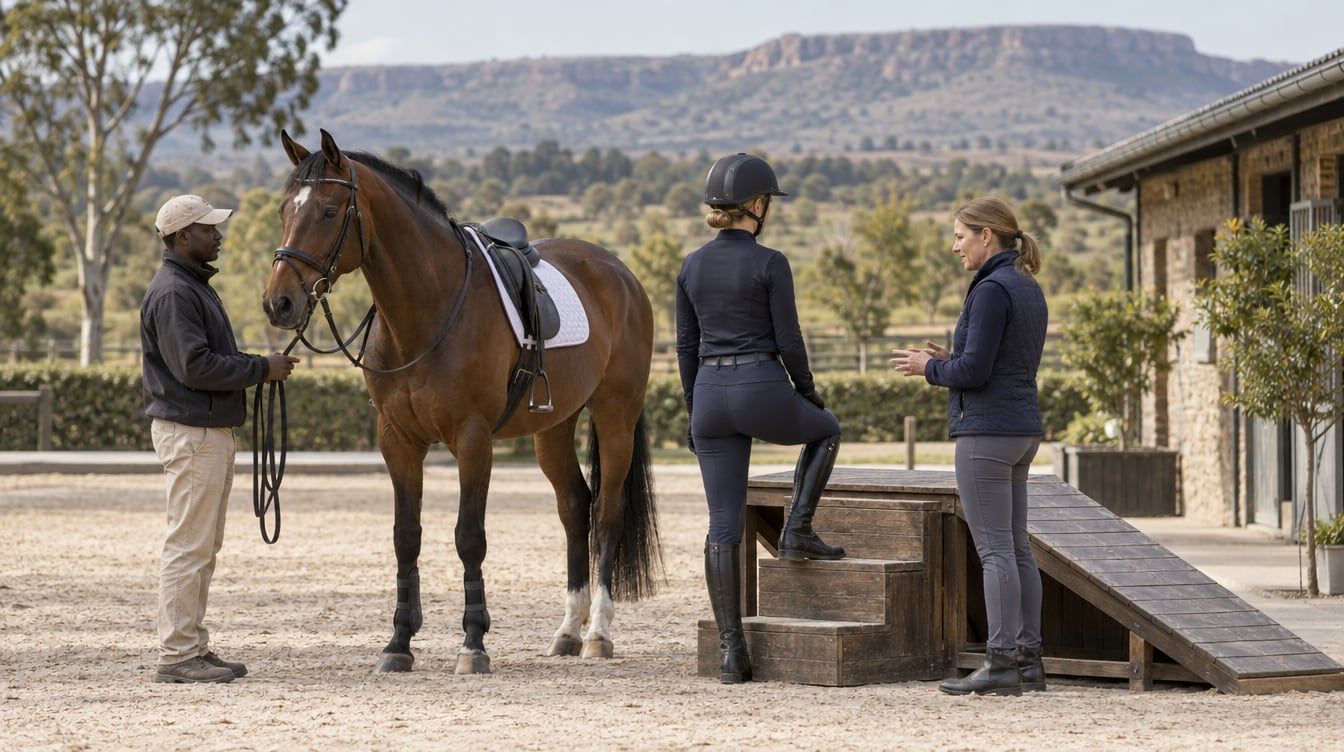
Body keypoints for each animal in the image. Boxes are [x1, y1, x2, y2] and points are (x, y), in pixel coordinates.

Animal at [263, 129, 662, 674]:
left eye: (327, 210)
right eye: (285, 209)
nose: (278, 303)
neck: (427, 308)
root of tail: (619, 272)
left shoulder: (472, 440)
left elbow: (469, 537)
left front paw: (473, 643)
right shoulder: (397, 440)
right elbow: (405, 537)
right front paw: (398, 643)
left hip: (615, 413)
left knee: (606, 513)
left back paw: (598, 632)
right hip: (553, 427)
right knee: (574, 508)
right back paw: (567, 631)